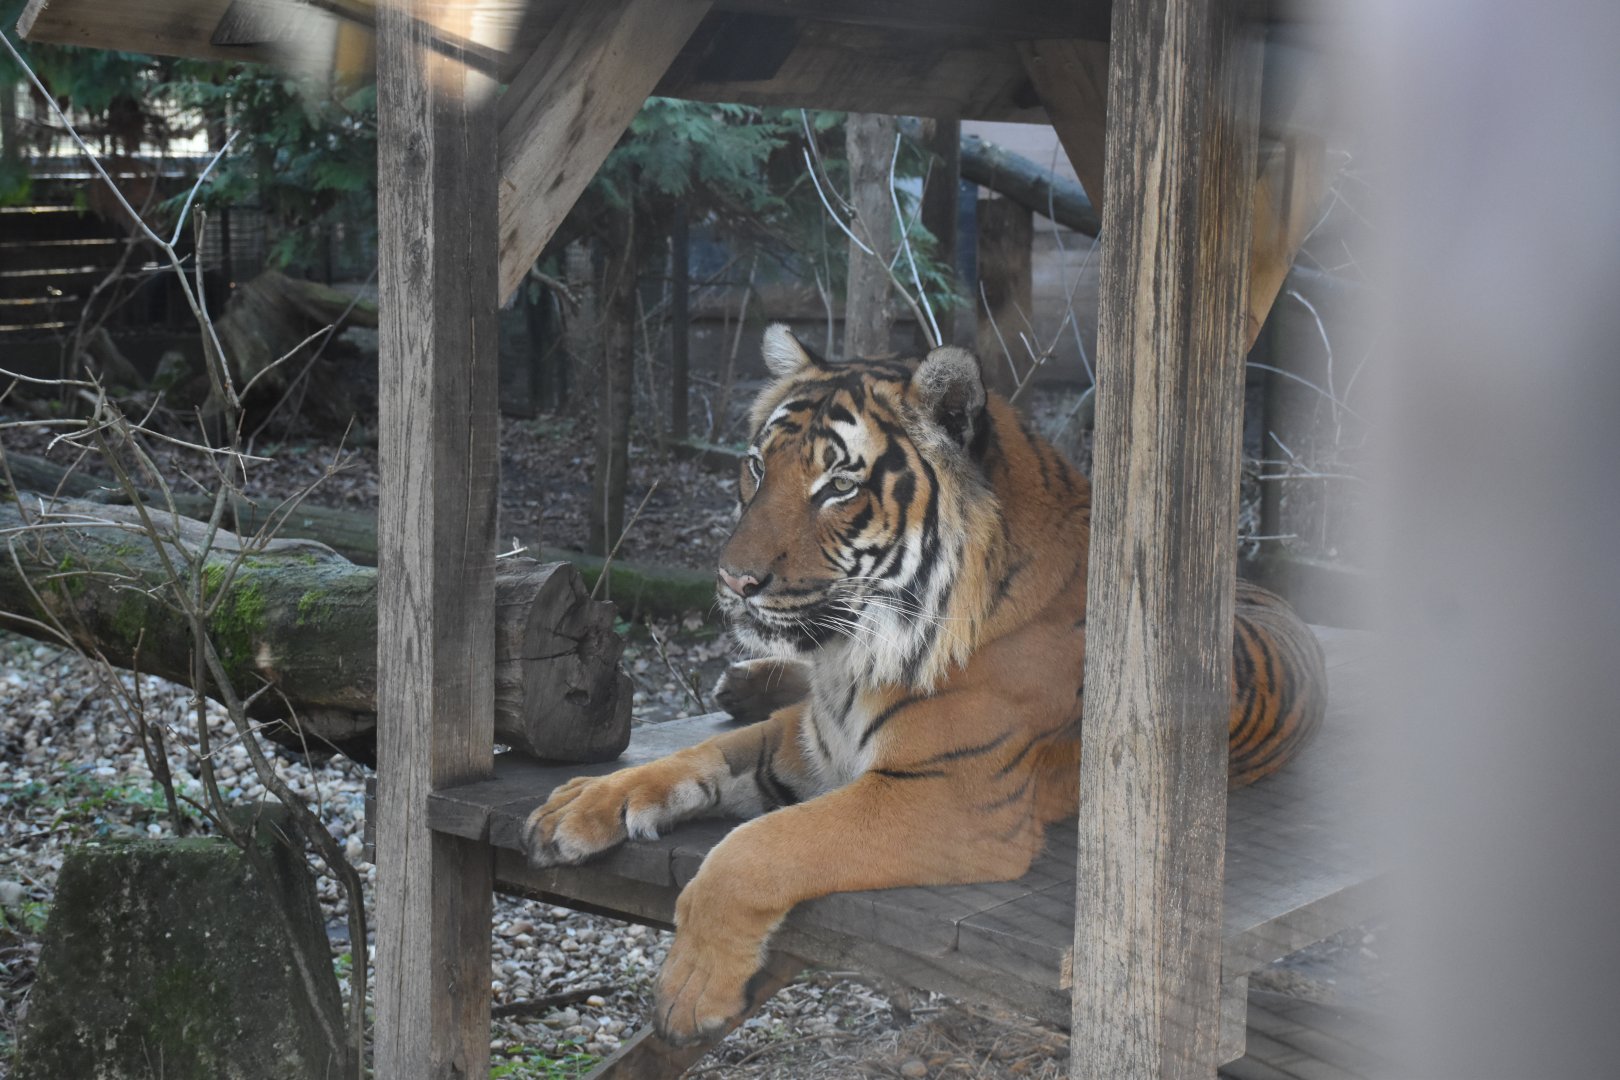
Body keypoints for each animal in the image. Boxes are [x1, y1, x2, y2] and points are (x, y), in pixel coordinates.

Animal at [522, 325, 1326, 1044]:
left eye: (838, 484)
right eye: (755, 466)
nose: (734, 581)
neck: (854, 655)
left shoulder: (949, 796)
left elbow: (759, 845)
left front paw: (689, 993)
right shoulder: (808, 743)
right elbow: (687, 761)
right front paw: (575, 806)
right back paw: (741, 680)